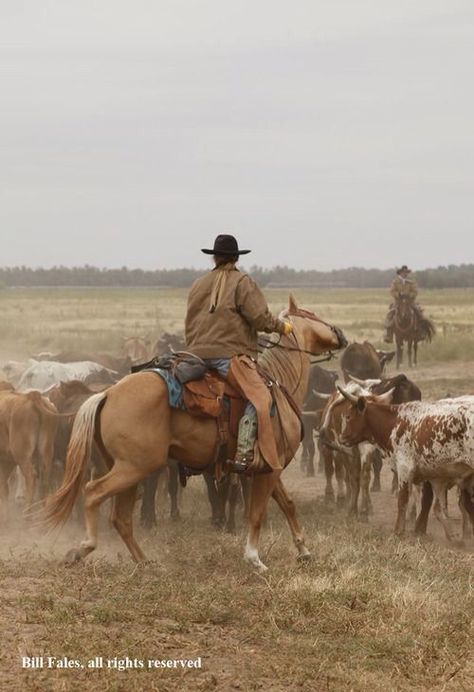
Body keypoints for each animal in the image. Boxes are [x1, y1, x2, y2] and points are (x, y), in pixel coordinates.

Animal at [44, 294, 346, 572]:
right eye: (313, 314)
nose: (340, 335)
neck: (277, 384)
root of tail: (107, 394)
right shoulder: (270, 468)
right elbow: (258, 512)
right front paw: (254, 559)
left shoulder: (271, 467)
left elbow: (288, 504)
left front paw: (304, 550)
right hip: (134, 467)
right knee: (93, 493)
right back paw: (84, 548)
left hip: (126, 469)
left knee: (121, 517)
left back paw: (144, 561)